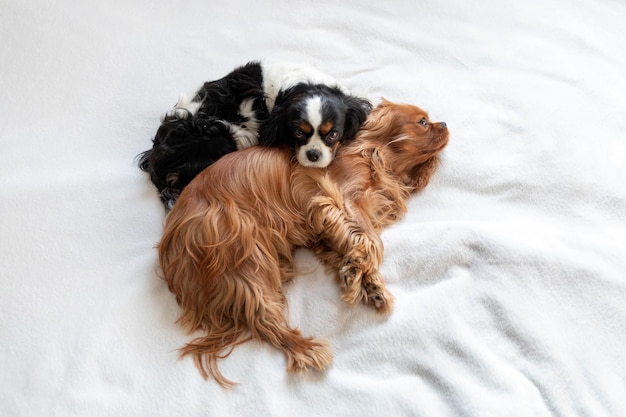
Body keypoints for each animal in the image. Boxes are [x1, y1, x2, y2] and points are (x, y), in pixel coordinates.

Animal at [138, 60, 370, 210]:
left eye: (333, 134)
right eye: (297, 133)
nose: (313, 155)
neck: (302, 86)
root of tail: (156, 157)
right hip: (224, 137)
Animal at [158, 98, 446, 386]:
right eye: (423, 122)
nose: (444, 123)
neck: (373, 154)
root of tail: (170, 247)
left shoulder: (323, 231)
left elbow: (350, 246)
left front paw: (367, 282)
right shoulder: (336, 199)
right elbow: (371, 241)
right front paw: (359, 277)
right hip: (246, 257)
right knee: (263, 319)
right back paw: (308, 350)